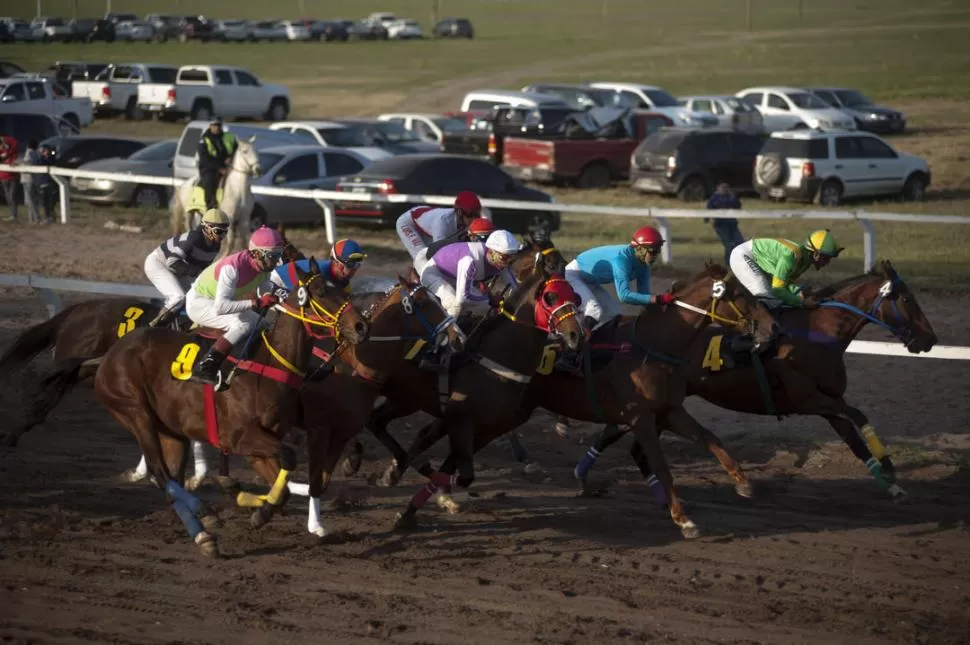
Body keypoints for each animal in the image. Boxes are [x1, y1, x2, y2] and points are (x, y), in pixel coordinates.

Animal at [26, 260, 368, 556]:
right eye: (321, 292)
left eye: (344, 291)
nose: (361, 324)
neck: (269, 365)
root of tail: (106, 357)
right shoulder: (240, 437)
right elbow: (289, 456)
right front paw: (251, 503)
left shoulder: (258, 447)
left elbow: (282, 482)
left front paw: (257, 508)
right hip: (136, 413)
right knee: (160, 474)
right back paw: (203, 528)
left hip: (171, 430)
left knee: (171, 478)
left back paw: (204, 520)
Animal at [370, 262, 772, 540]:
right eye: (738, 294)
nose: (770, 327)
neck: (654, 348)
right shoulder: (641, 416)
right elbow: (662, 465)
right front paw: (684, 519)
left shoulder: (670, 410)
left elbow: (711, 438)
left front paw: (743, 483)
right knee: (420, 435)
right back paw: (405, 480)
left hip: (507, 416)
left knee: (439, 444)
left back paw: (416, 495)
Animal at [572, 260, 932, 500]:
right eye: (907, 300)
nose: (929, 339)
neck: (819, 335)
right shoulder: (807, 399)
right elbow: (859, 415)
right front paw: (889, 465)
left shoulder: (829, 403)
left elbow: (854, 439)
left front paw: (891, 483)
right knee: (623, 437)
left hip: (661, 405)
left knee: (621, 437)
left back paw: (591, 478)